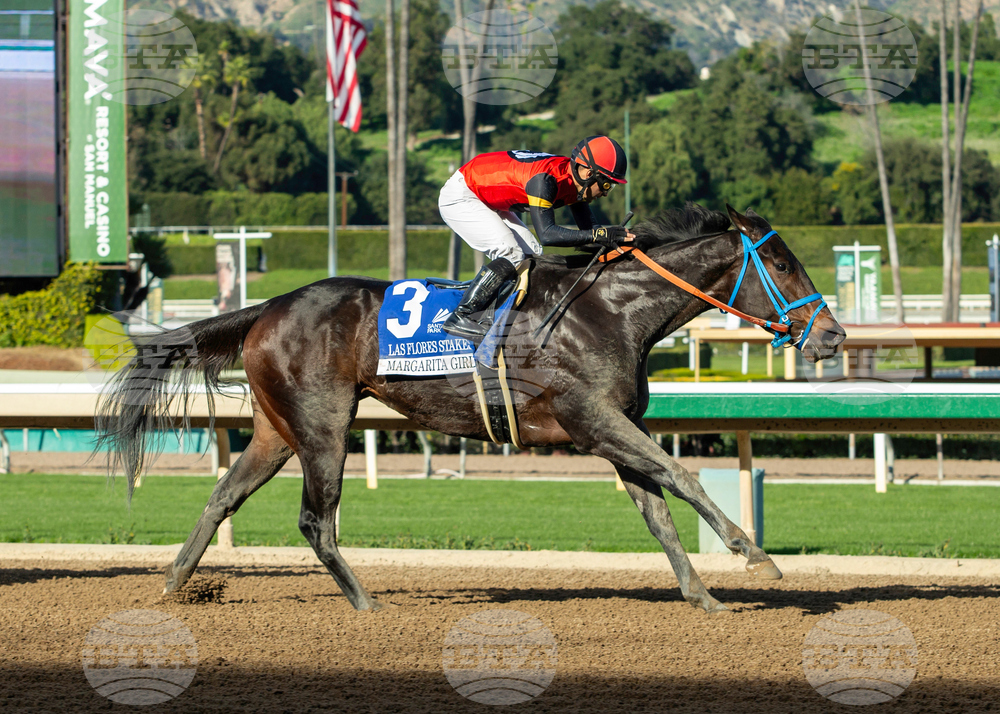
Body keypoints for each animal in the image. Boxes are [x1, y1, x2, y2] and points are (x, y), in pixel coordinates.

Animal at [96, 203, 845, 613]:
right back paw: (366, 602)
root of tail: (267, 306)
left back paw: (173, 586)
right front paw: (755, 557)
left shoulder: (615, 430)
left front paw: (703, 595)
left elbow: (658, 508)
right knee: (315, 521)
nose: (833, 336)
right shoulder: (595, 421)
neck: (613, 311)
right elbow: (680, 475)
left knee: (222, 496)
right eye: (781, 263)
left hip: (278, 429)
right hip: (324, 426)